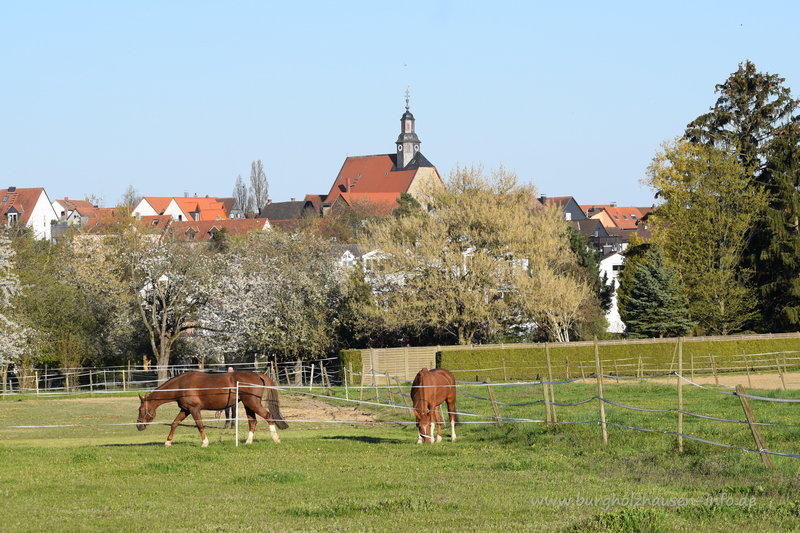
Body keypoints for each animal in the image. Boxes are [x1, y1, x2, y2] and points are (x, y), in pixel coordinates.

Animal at [137, 370, 288, 444]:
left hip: (252, 403)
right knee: (253, 422)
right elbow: (175, 423)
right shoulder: (185, 410)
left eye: (141, 410)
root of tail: (257, 374)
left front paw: (205, 442)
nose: (139, 426)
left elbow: (199, 425)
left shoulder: (194, 409)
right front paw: (167, 442)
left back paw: (276, 439)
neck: (181, 385)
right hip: (248, 405)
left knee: (268, 416)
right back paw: (248, 442)